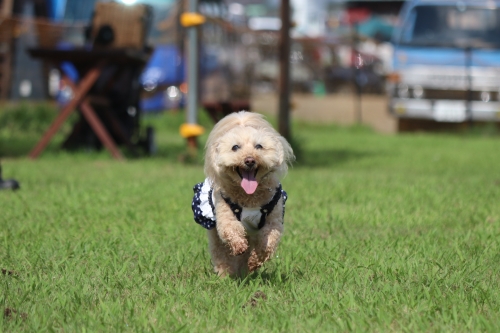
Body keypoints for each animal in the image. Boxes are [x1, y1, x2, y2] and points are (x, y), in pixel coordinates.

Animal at [191, 110, 292, 276]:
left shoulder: (273, 220)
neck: (249, 196)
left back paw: (245, 271)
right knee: (221, 253)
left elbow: (268, 241)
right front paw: (239, 245)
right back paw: (225, 273)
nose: (249, 160)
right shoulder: (225, 215)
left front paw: (255, 262)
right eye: (235, 147)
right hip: (214, 233)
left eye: (259, 146)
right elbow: (231, 229)